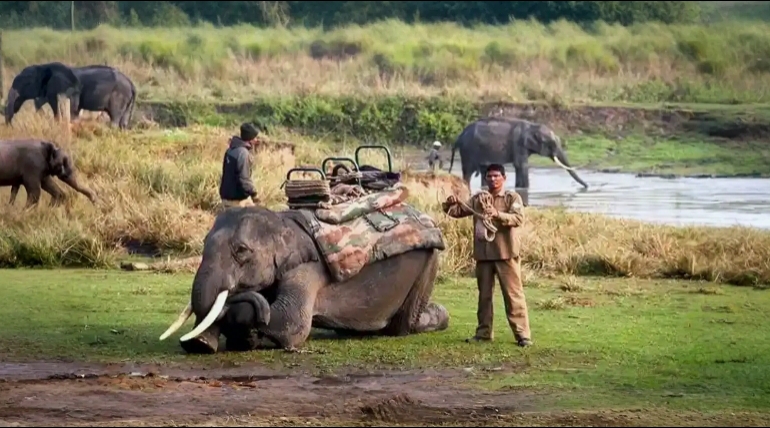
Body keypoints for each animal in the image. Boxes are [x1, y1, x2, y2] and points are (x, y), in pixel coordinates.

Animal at [5, 63, 137, 129]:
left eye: (26, 83)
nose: (10, 126)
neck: (42, 67)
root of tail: (132, 84)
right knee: (123, 121)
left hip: (119, 96)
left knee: (115, 117)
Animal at [158, 205, 450, 354]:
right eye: (204, 243)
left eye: (241, 251)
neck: (281, 222)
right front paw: (204, 344)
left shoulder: (310, 268)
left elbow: (292, 322)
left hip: (429, 263)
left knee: (404, 324)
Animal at [448, 117, 589, 190]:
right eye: (551, 143)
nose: (587, 186)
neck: (532, 126)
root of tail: (459, 136)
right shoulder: (519, 144)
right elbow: (522, 165)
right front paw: (524, 189)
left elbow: (519, 166)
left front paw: (519, 188)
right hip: (468, 151)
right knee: (468, 172)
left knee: (483, 171)